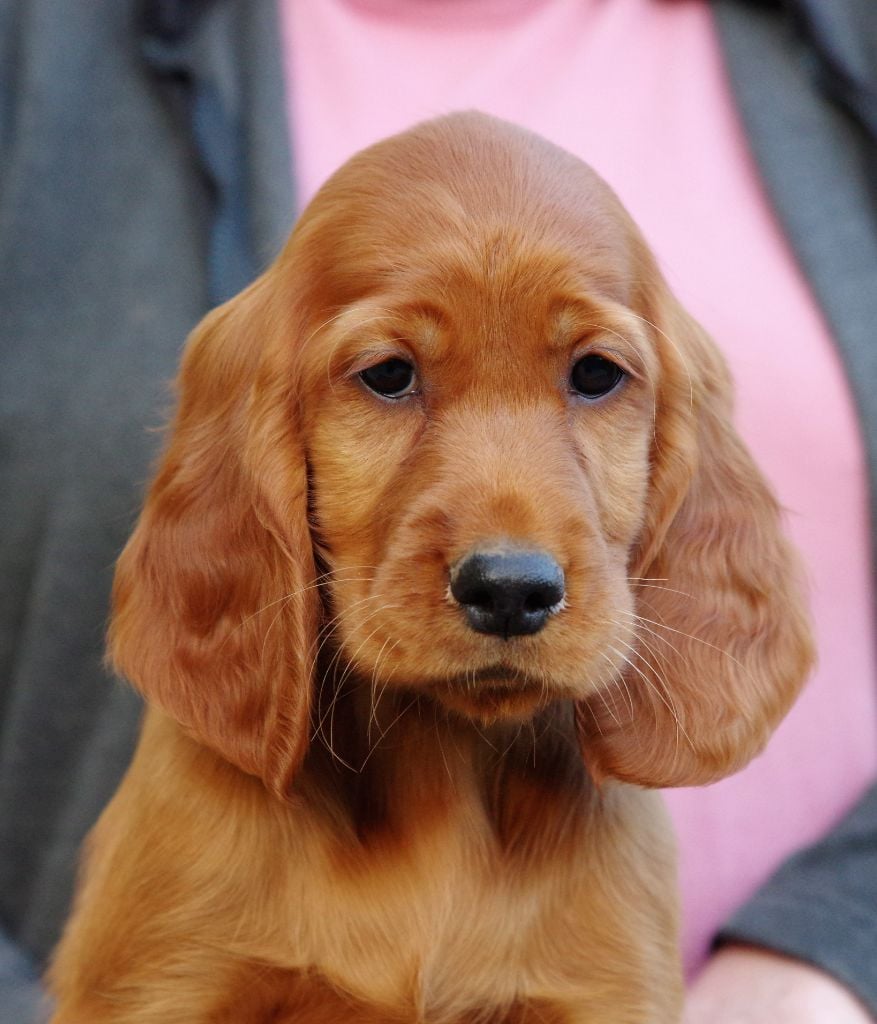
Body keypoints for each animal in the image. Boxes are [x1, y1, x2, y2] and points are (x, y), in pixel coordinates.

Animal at [49, 112, 815, 1024]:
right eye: (388, 375)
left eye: (596, 374)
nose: (511, 591)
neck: (442, 770)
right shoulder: (162, 981)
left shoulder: (601, 989)